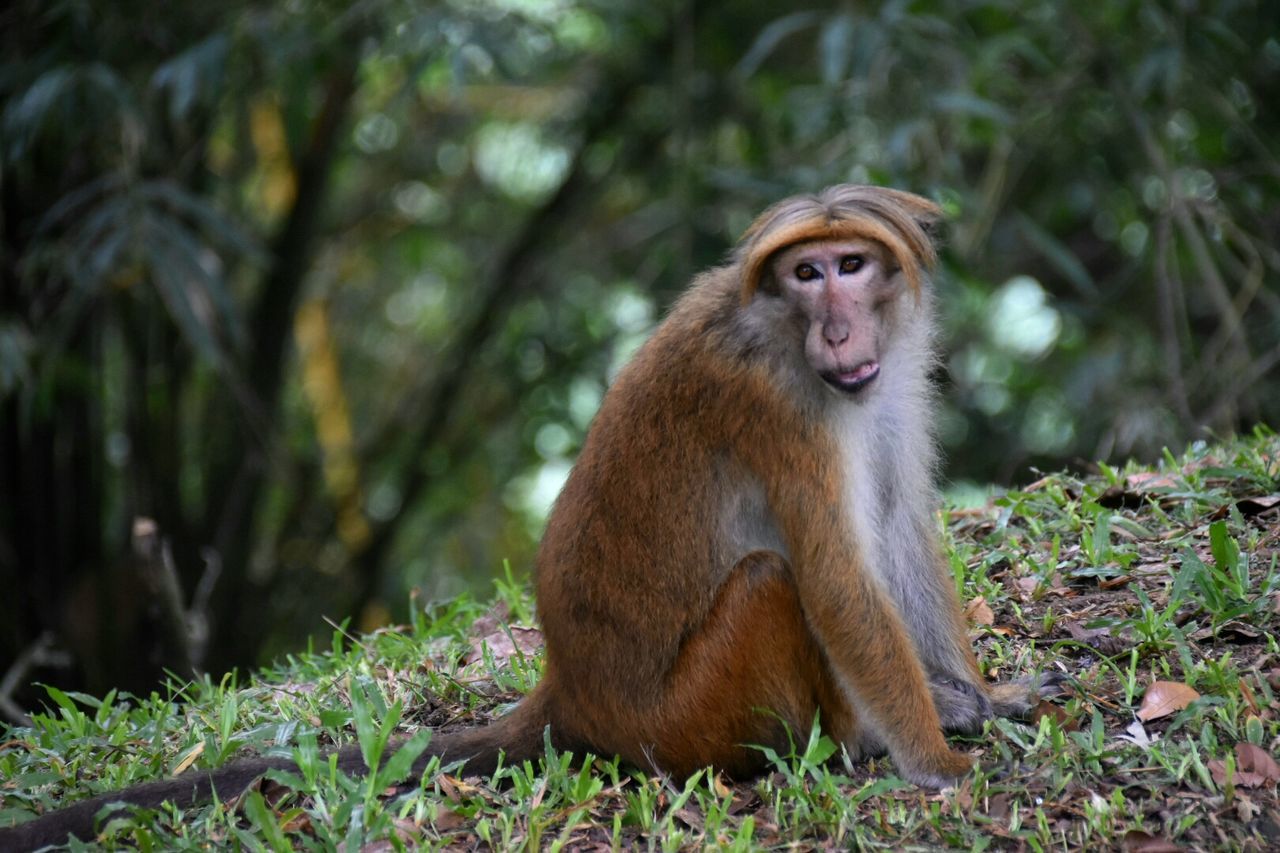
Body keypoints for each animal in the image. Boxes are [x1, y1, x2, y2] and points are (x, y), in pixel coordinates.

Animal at [0, 183, 1059, 845]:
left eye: (852, 264)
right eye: (808, 275)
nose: (837, 329)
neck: (791, 338)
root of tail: (571, 692)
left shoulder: (885, 383)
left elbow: (900, 525)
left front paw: (979, 692)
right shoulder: (776, 406)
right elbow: (839, 583)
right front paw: (935, 761)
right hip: (686, 716)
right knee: (771, 581)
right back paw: (846, 742)